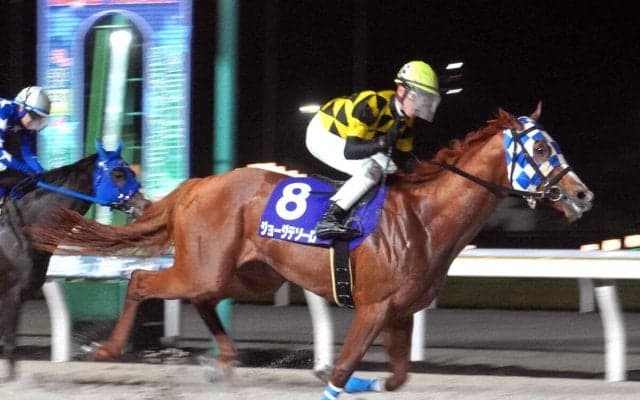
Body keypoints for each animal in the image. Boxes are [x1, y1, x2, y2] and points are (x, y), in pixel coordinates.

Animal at [0, 143, 149, 381]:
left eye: (132, 172)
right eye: (118, 173)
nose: (145, 205)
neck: (21, 228)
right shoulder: (11, 294)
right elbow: (10, 345)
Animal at [29, 105, 593, 397]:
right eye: (540, 147)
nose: (582, 194)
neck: (425, 218)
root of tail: (197, 186)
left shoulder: (400, 314)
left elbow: (397, 377)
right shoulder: (373, 308)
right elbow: (342, 372)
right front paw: (332, 374)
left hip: (248, 274)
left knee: (203, 299)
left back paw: (226, 360)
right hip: (206, 267)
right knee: (142, 281)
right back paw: (106, 349)